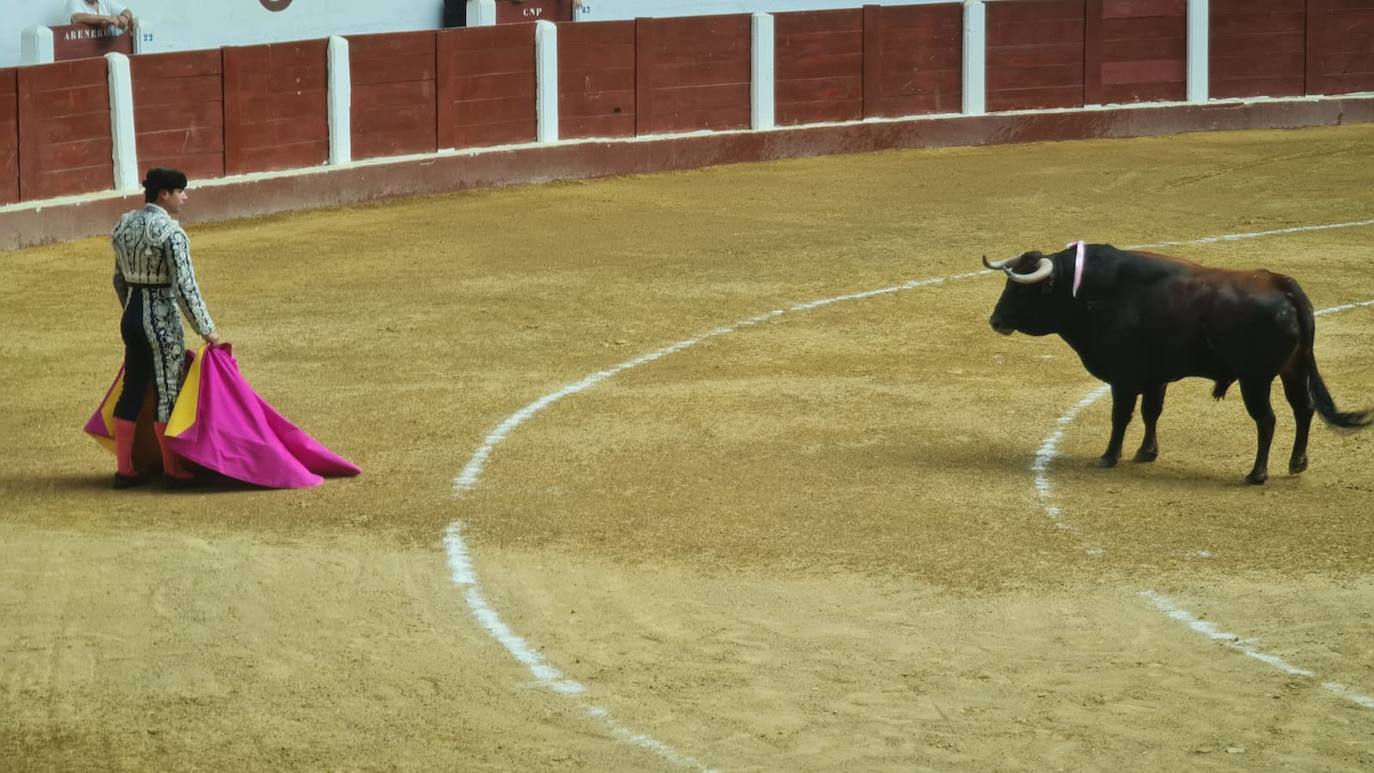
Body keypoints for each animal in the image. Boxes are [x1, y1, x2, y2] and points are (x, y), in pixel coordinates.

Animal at [983, 243, 1368, 483]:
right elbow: (1151, 412)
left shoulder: (1124, 377)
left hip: (1254, 378)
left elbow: (1121, 415)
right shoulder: (1157, 377)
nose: (995, 321)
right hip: (1294, 369)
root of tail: (1282, 283)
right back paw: (1297, 463)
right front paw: (1145, 452)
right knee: (1303, 410)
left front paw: (1108, 456)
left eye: (1020, 289)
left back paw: (1256, 474)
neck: (1085, 293)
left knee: (1267, 420)